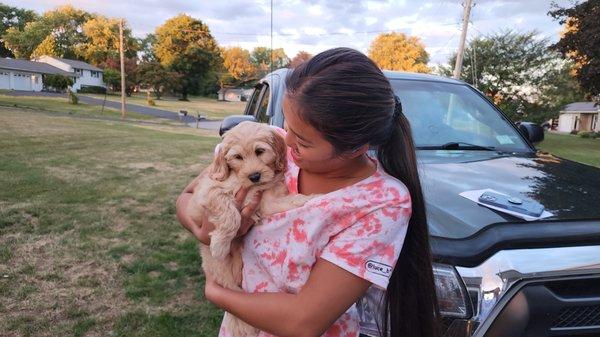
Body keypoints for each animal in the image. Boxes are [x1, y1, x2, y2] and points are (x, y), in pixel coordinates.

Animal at [188, 121, 312, 336]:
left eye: (260, 151)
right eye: (237, 157)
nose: (254, 176)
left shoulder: (268, 199)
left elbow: (288, 202)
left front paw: (311, 198)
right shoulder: (209, 192)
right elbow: (231, 215)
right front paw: (220, 244)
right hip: (219, 270)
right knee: (232, 296)